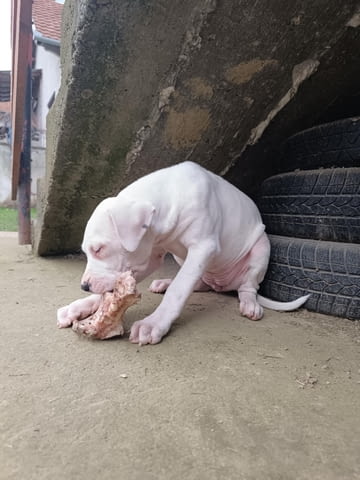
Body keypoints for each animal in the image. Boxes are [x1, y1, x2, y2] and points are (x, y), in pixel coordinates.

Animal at [57, 163, 308, 344]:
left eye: (98, 249)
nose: (84, 286)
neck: (171, 193)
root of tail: (224, 285)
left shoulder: (203, 247)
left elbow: (179, 289)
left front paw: (154, 323)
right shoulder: (151, 256)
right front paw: (78, 307)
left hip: (260, 248)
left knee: (248, 286)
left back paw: (249, 304)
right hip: (185, 260)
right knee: (200, 283)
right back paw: (165, 282)